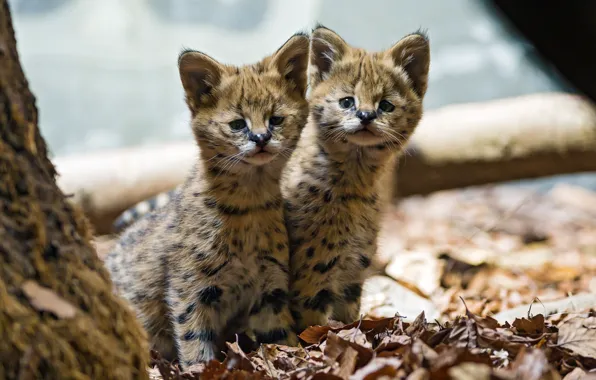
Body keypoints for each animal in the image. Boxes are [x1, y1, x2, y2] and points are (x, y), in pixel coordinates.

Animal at [106, 33, 310, 368]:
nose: (261, 138)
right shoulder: (188, 288)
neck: (249, 202)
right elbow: (193, 340)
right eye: (238, 124)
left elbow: (281, 336)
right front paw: (199, 369)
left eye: (277, 120)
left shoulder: (270, 285)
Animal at [282, 25, 430, 332]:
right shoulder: (313, 269)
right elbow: (313, 326)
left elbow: (348, 316)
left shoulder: (356, 263)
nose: (365, 115)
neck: (355, 180)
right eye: (347, 101)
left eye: (386, 105)